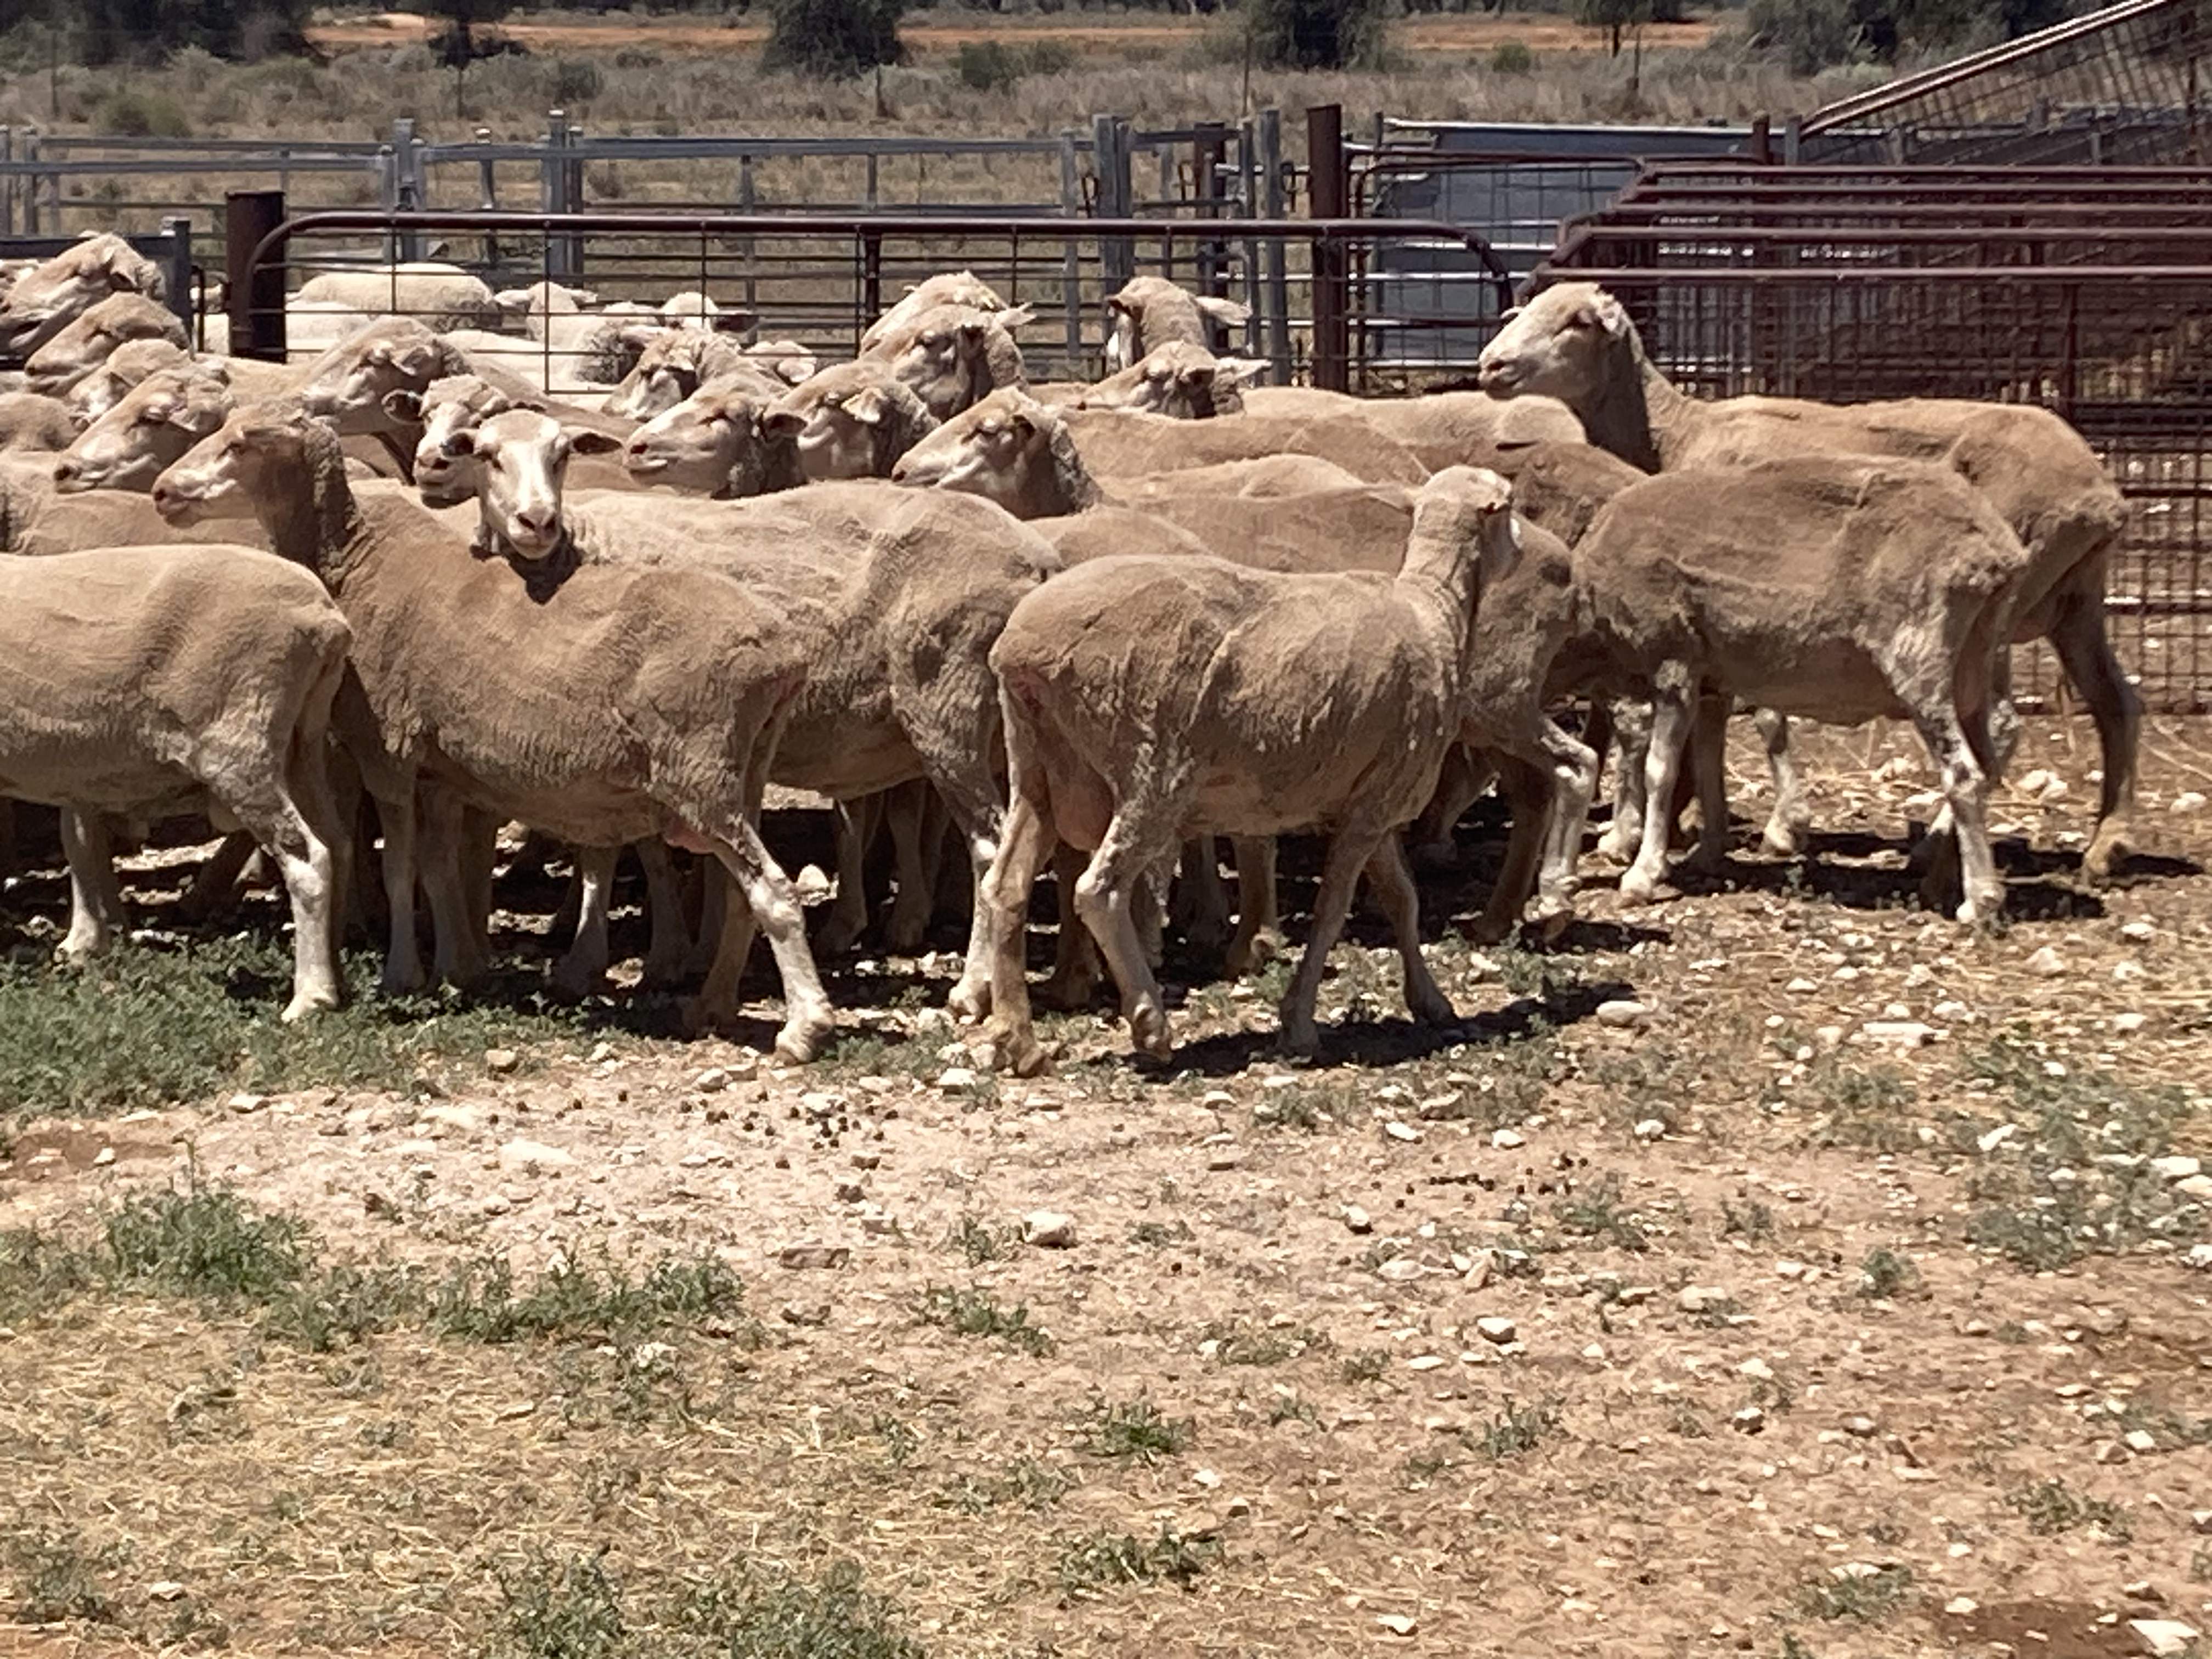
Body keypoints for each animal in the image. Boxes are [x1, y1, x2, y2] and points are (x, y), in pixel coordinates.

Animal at [0, 541, 351, 1020]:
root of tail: (324, 617)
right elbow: (80, 841)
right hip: (302, 741)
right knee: (339, 843)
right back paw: (336, 976)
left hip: (240, 741)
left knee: (308, 859)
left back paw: (310, 999)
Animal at [151, 401, 837, 1061]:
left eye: (241, 443)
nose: (161, 491)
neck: (357, 565)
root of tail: (780, 653)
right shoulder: (442, 769)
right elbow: (441, 868)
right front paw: (458, 968)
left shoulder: (389, 751)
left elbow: (401, 868)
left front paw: (403, 974)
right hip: (743, 771)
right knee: (742, 898)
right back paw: (712, 1006)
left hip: (701, 776)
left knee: (775, 892)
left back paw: (804, 1030)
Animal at [435, 408, 1061, 1014]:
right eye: (487, 455)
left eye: (562, 455)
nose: (535, 522)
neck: (574, 552)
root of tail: (1040, 560)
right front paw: (690, 951)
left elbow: (609, 852)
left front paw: (608, 960)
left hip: (946, 704)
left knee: (988, 847)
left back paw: (973, 988)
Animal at [975, 466, 1521, 1073]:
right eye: (1511, 504)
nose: (1522, 549)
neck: (1434, 612)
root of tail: (1020, 649)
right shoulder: (1373, 807)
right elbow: (1334, 911)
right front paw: (1299, 1025)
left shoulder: (1371, 801)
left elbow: (1404, 899)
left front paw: (1430, 1000)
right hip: (1150, 770)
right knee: (1098, 890)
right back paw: (1150, 1026)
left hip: (1037, 767)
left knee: (1004, 886)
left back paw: (1019, 1041)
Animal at [1478, 281, 2137, 880]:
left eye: (1577, 322)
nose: (1491, 365)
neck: (1678, 434)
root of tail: (2103, 493)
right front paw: (1696, 824)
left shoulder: (1757, 600)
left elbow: (1764, 716)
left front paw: (1769, 827)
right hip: (2076, 599)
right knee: (2115, 700)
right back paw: (2106, 844)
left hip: (2005, 598)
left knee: (1999, 725)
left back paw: (1940, 846)